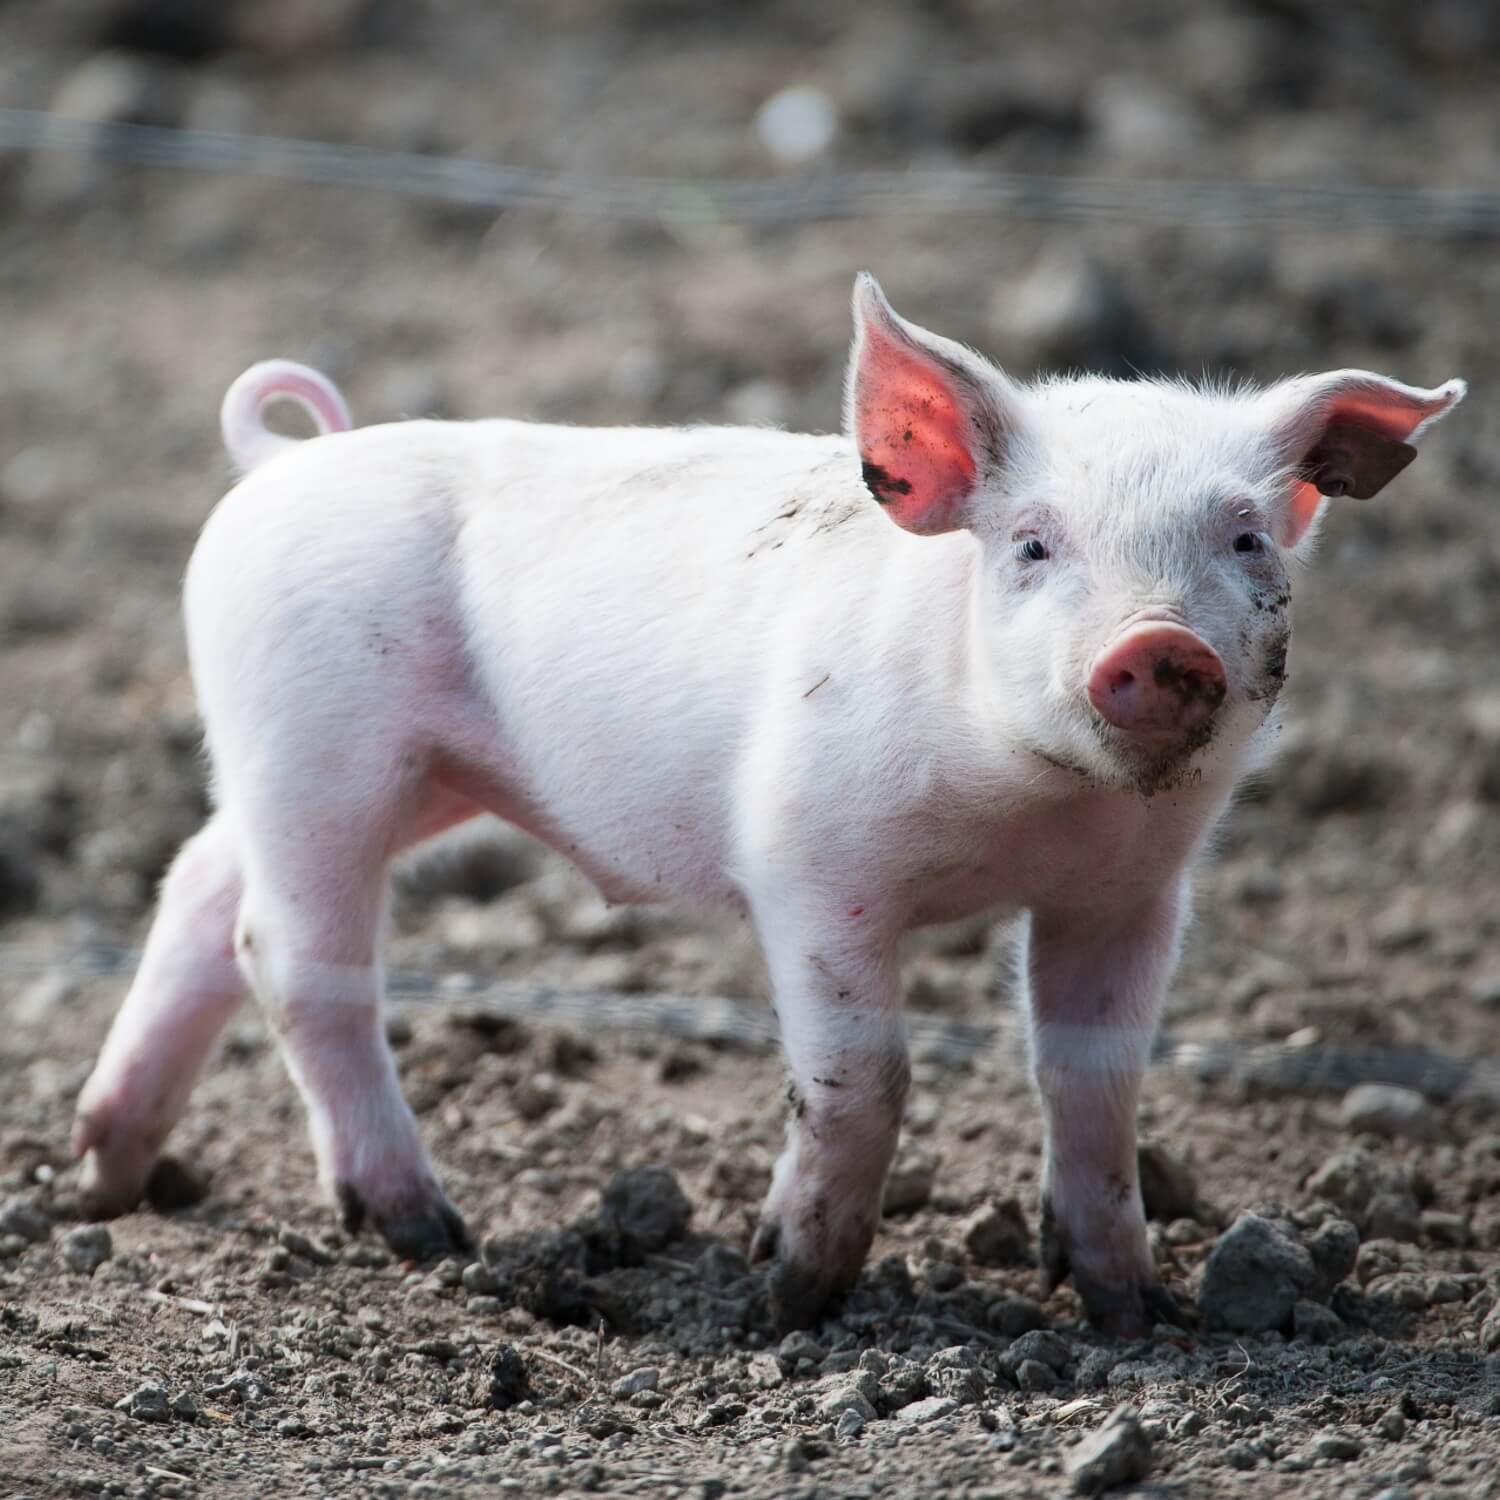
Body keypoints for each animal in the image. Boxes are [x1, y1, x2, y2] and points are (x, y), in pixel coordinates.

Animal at [73, 276, 1464, 1332]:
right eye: (1032, 544)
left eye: (1246, 540)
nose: (1162, 644)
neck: (1024, 812)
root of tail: (280, 462)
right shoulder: (809, 858)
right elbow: (863, 1075)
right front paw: (789, 1294)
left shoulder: (1133, 889)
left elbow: (1095, 1079)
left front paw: (1135, 1310)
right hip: (321, 749)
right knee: (291, 954)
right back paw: (427, 1232)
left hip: (358, 776)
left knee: (198, 888)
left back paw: (108, 1173)